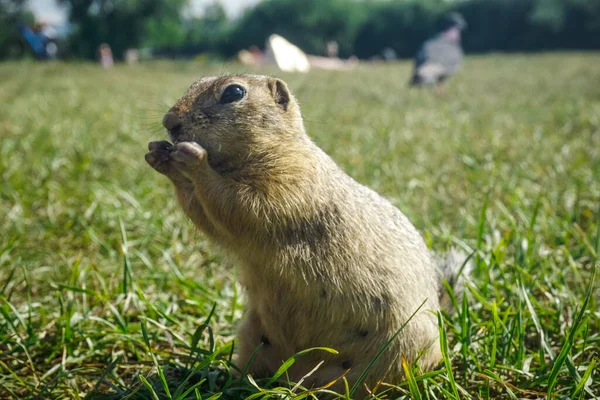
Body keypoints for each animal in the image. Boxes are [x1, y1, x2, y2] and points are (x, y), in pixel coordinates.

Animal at [144, 73, 468, 396]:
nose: (169, 121)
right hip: (252, 336)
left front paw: (192, 159)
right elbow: (208, 214)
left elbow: (238, 204)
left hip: (397, 351)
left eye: (234, 92)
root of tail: (298, 376)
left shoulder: (290, 182)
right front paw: (159, 156)